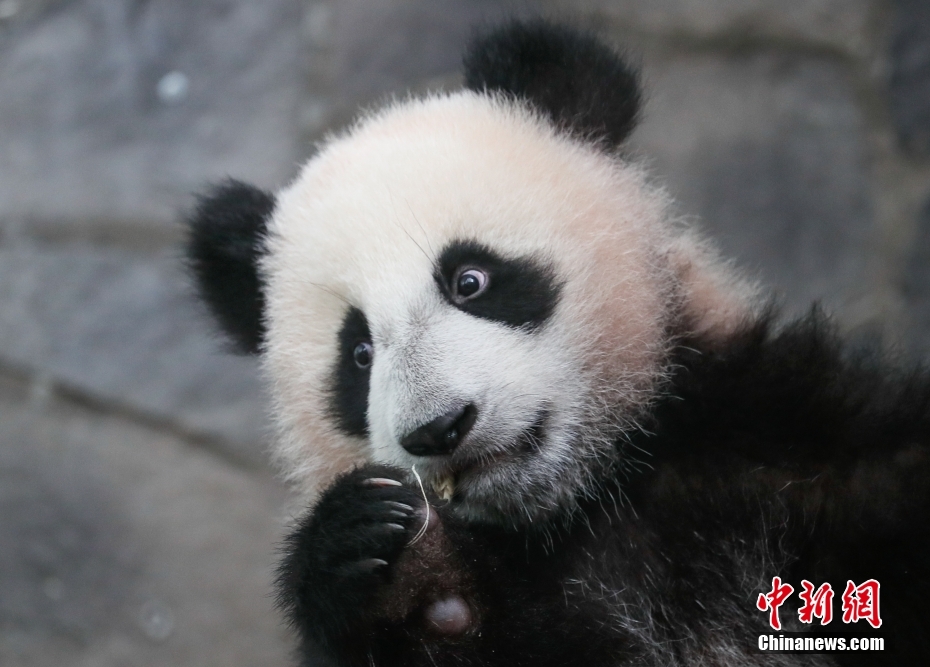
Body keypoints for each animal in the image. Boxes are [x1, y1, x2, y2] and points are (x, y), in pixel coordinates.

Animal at [186, 20, 929, 667]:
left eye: (471, 279)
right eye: (358, 353)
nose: (439, 427)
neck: (591, 496)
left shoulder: (790, 448)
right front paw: (383, 558)